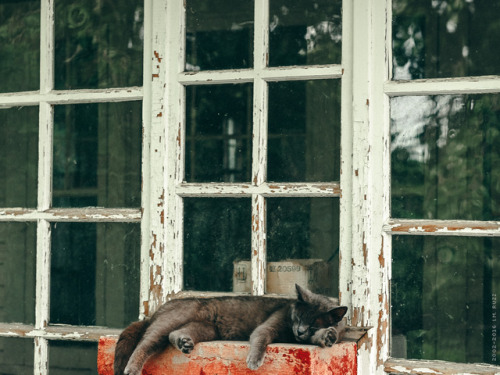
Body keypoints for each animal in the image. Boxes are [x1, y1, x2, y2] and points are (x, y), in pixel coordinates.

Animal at [114, 284, 346, 375]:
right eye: (297, 317)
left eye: (313, 324)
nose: (299, 331)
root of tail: (155, 311)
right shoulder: (269, 325)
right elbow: (260, 337)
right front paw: (254, 361)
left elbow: (319, 337)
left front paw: (329, 335)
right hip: (170, 321)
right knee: (145, 343)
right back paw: (132, 369)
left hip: (205, 328)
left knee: (175, 334)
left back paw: (185, 343)